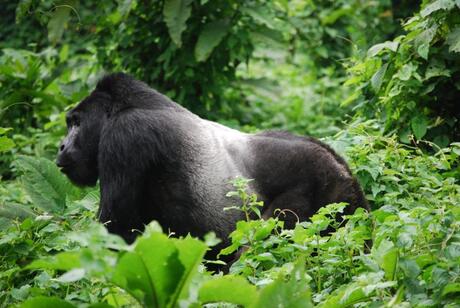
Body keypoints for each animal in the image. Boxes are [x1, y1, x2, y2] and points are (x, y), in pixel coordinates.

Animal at [55, 74, 368, 248]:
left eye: (76, 124)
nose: (61, 146)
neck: (121, 107)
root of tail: (342, 167)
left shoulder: (124, 138)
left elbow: (115, 231)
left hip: (324, 186)